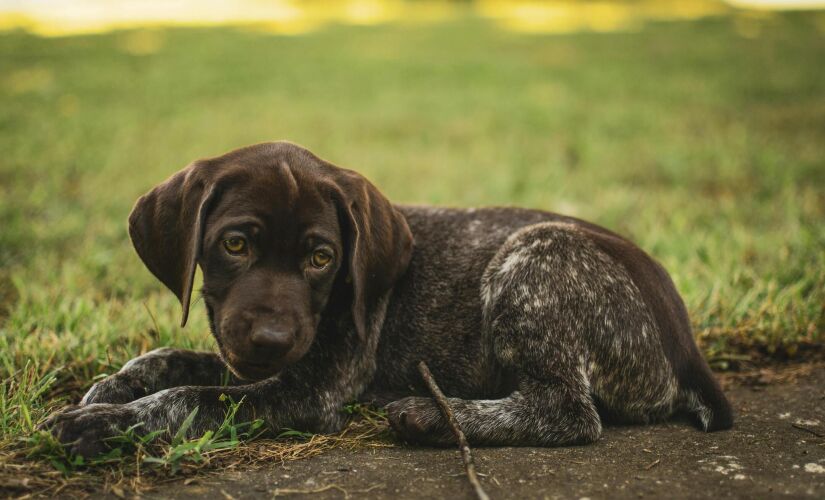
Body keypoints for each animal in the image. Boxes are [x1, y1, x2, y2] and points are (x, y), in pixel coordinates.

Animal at [45, 141, 732, 458]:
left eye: (322, 258)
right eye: (234, 244)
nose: (271, 339)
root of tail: (686, 346)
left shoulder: (311, 390)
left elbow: (191, 398)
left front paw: (105, 423)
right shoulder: (254, 359)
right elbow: (170, 360)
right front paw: (110, 388)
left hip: (536, 252)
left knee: (568, 412)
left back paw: (432, 415)